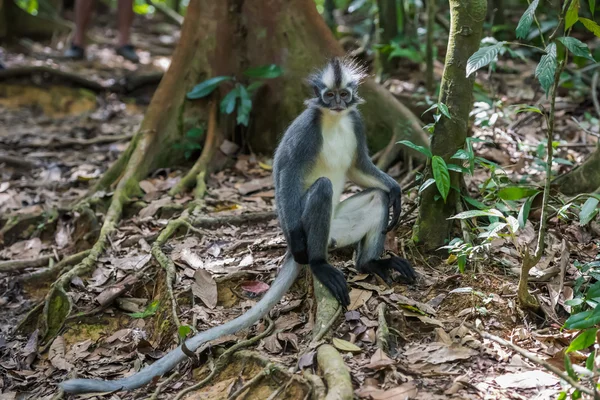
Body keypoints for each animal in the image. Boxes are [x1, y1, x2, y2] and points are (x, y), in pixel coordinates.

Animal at [274, 57, 414, 306]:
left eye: (343, 94)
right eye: (329, 95)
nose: (338, 102)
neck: (335, 119)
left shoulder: (356, 121)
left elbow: (358, 168)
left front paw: (396, 190)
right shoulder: (306, 129)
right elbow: (287, 173)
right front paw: (297, 241)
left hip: (338, 227)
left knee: (378, 196)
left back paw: (370, 263)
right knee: (322, 188)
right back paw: (318, 263)